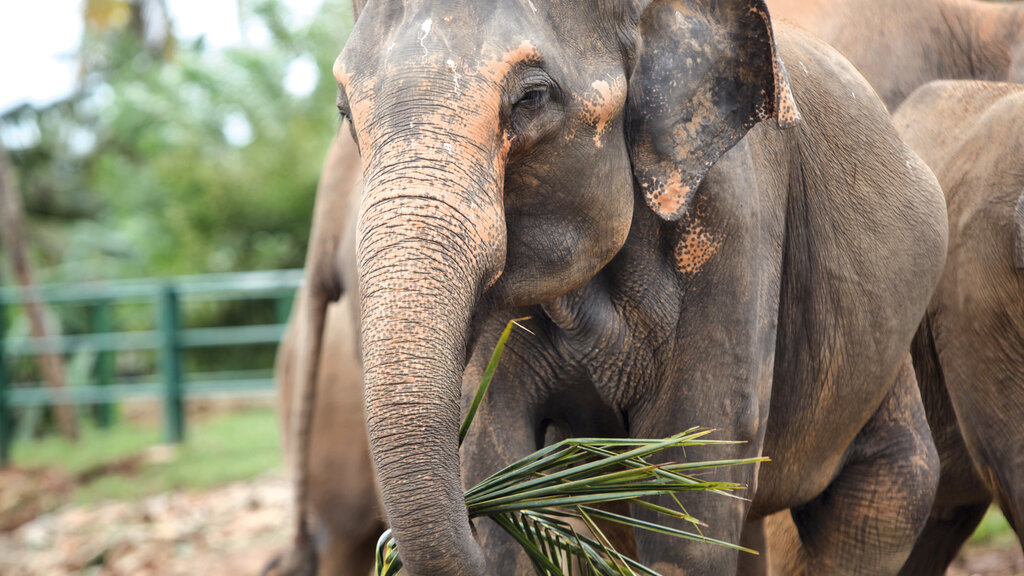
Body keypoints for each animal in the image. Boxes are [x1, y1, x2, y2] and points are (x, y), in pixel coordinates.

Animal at [329, 1, 950, 573]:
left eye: (531, 98)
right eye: (344, 110)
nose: (385, 548)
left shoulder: (735, 226)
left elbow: (693, 479)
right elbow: (493, 442)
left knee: (885, 497)